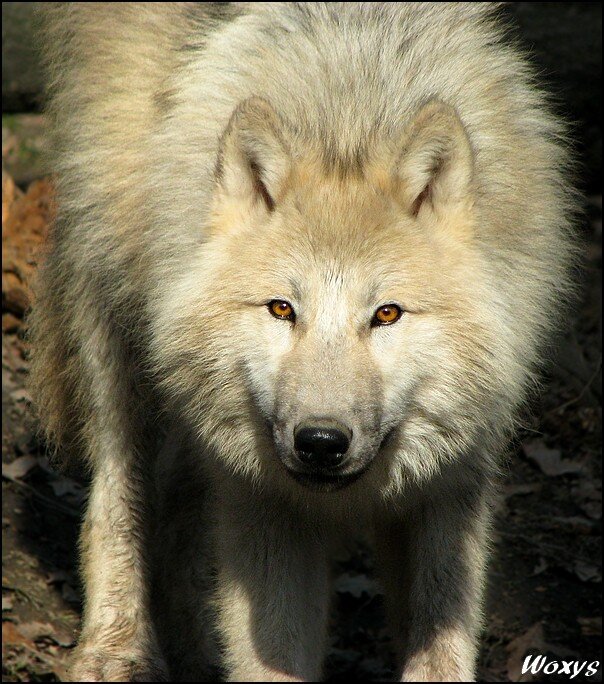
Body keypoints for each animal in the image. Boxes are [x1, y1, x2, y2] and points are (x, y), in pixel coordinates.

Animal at [30, 2, 578, 681]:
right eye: (282, 309)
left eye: (387, 314)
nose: (320, 442)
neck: (349, 112)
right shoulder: (260, 499)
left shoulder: (453, 484)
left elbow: (440, 640)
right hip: (112, 304)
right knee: (117, 489)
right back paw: (118, 649)